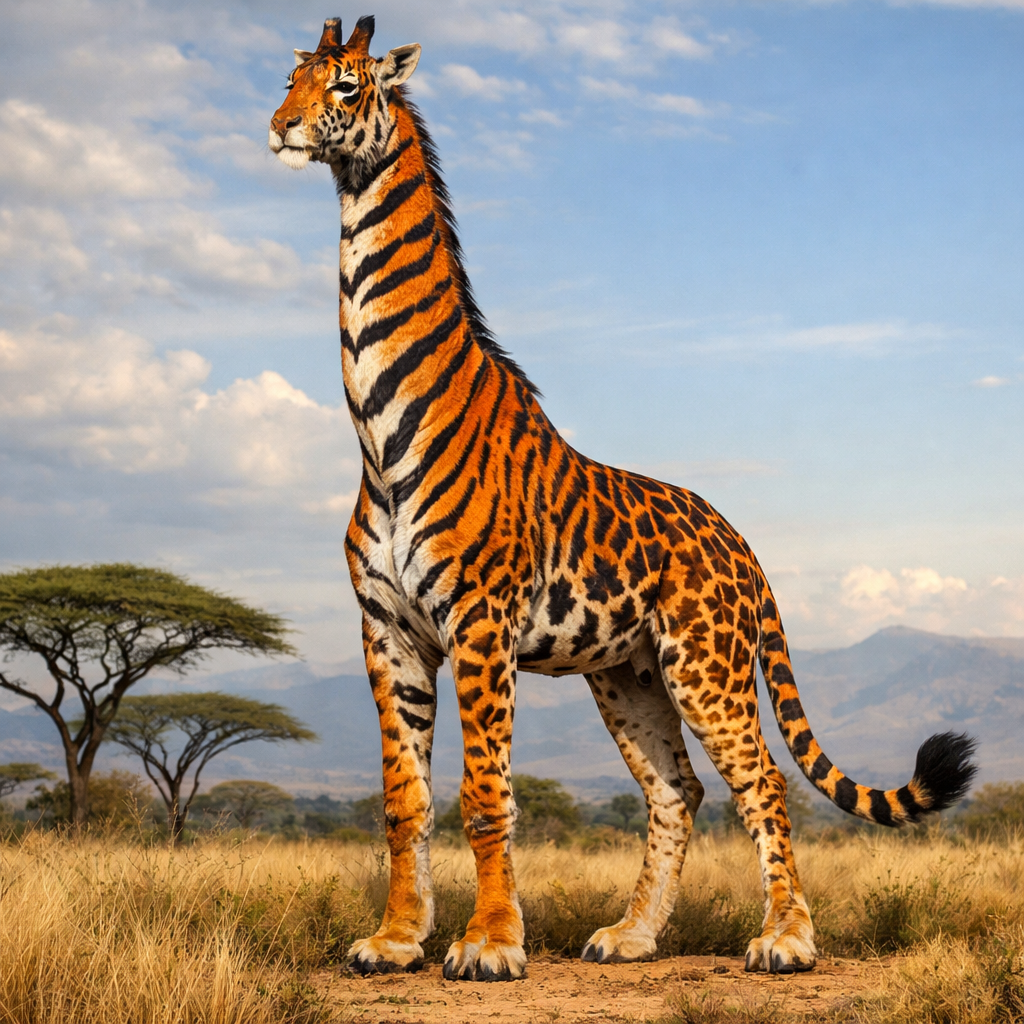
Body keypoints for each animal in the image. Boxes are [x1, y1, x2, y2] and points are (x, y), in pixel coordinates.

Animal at [269, 16, 977, 982]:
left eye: (344, 86)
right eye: (291, 78)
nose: (278, 127)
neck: (379, 435)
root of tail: (739, 539)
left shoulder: (480, 627)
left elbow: (485, 794)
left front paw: (491, 943)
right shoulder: (389, 633)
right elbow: (402, 800)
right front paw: (398, 939)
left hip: (706, 668)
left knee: (762, 780)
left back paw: (787, 938)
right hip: (628, 673)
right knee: (677, 789)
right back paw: (635, 934)